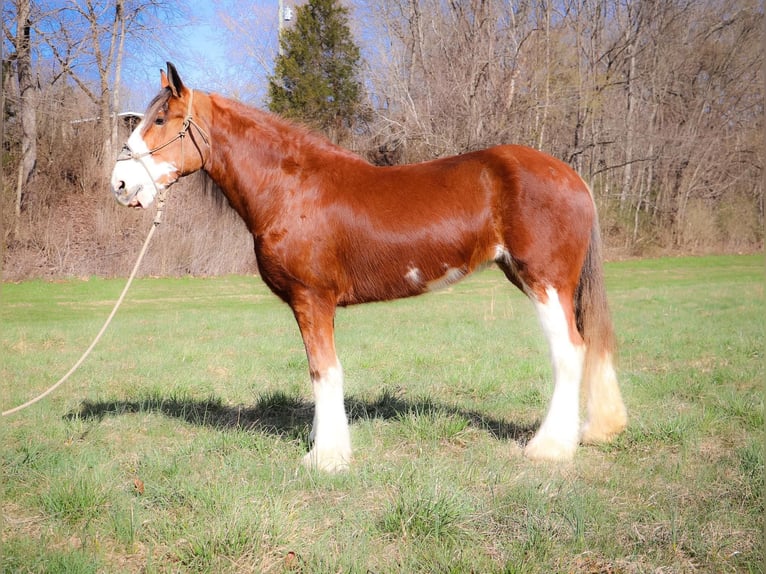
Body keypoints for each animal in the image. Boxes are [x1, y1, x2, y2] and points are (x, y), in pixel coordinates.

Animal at [112, 63, 632, 472]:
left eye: (161, 119)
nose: (119, 183)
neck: (291, 187)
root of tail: (571, 176)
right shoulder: (317, 305)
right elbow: (322, 372)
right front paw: (325, 448)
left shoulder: (311, 299)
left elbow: (324, 372)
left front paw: (327, 458)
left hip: (545, 282)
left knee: (570, 351)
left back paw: (549, 448)